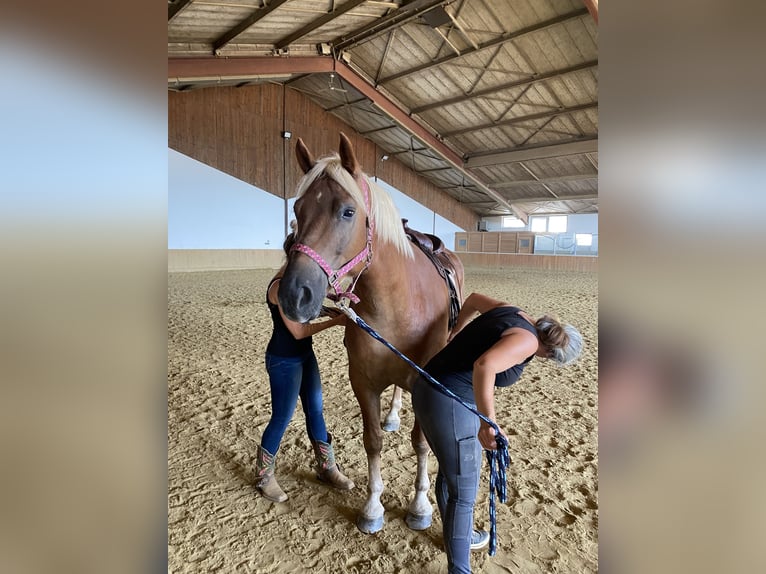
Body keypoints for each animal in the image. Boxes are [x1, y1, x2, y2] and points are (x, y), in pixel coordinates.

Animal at [278, 132, 464, 536]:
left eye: (348, 211)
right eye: (297, 208)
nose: (294, 295)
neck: (398, 303)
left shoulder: (424, 383)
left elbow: (421, 443)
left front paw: (420, 505)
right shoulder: (363, 382)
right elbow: (373, 441)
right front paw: (373, 506)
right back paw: (392, 414)